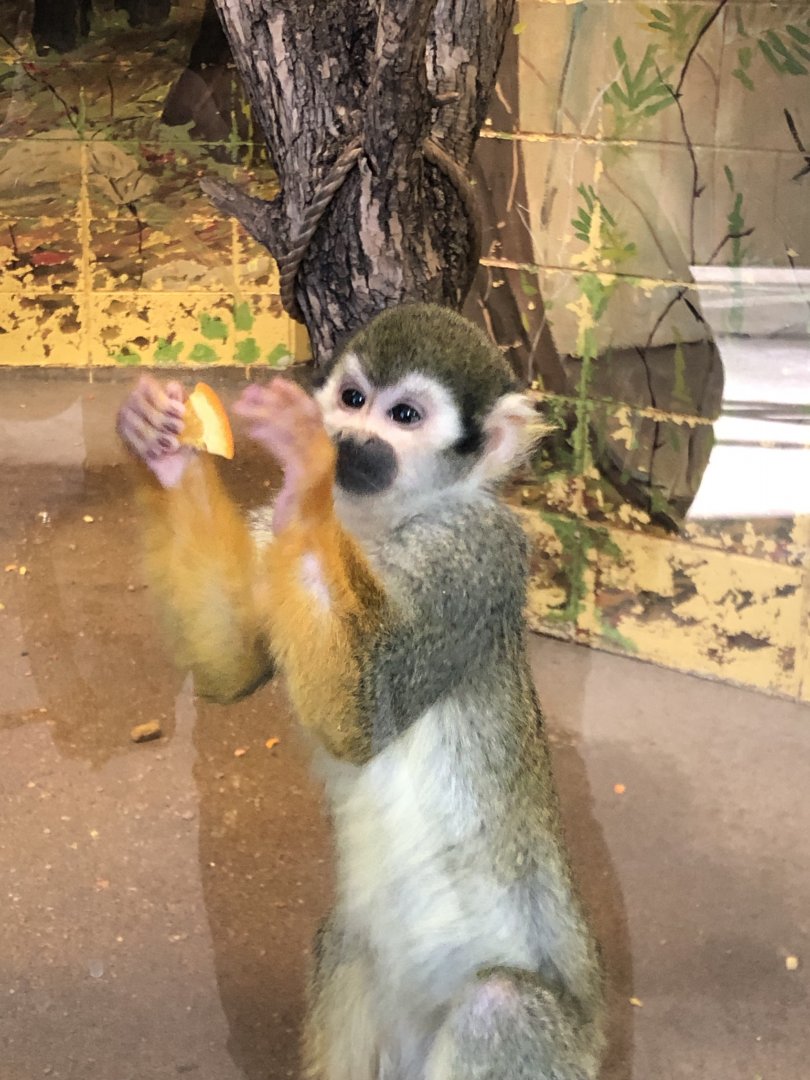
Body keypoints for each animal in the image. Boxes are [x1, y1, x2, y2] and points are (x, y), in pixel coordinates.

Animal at [116, 303, 606, 1080]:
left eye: (403, 415)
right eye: (352, 399)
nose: (348, 438)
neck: (380, 524)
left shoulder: (479, 547)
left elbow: (362, 711)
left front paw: (306, 467)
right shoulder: (269, 536)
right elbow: (231, 669)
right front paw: (163, 449)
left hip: (561, 1053)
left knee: (502, 1005)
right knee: (347, 949)